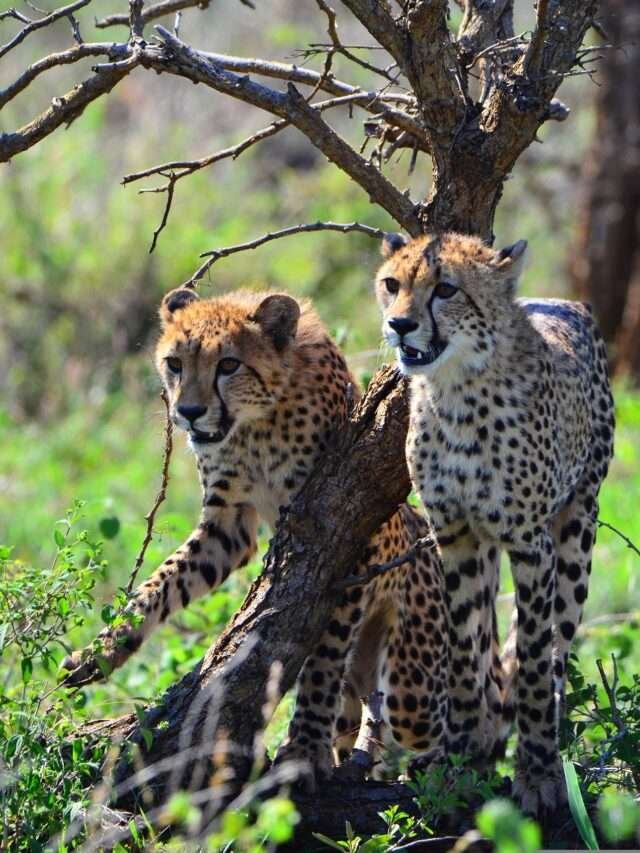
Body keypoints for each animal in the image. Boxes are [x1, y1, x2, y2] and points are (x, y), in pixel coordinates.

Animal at [61, 284, 467, 783]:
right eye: (175, 363)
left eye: (228, 365)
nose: (189, 413)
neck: (254, 423)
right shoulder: (227, 526)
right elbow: (160, 585)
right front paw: (100, 652)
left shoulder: (343, 533)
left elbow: (324, 658)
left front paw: (303, 747)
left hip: (414, 687)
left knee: (438, 735)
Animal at [375, 230, 615, 814]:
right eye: (392, 284)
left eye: (445, 289)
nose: (399, 324)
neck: (456, 391)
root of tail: (563, 301)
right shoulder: (456, 534)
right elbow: (465, 651)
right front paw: (457, 762)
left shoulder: (530, 543)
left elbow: (532, 658)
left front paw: (539, 773)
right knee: (487, 641)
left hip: (578, 525)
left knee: (557, 646)